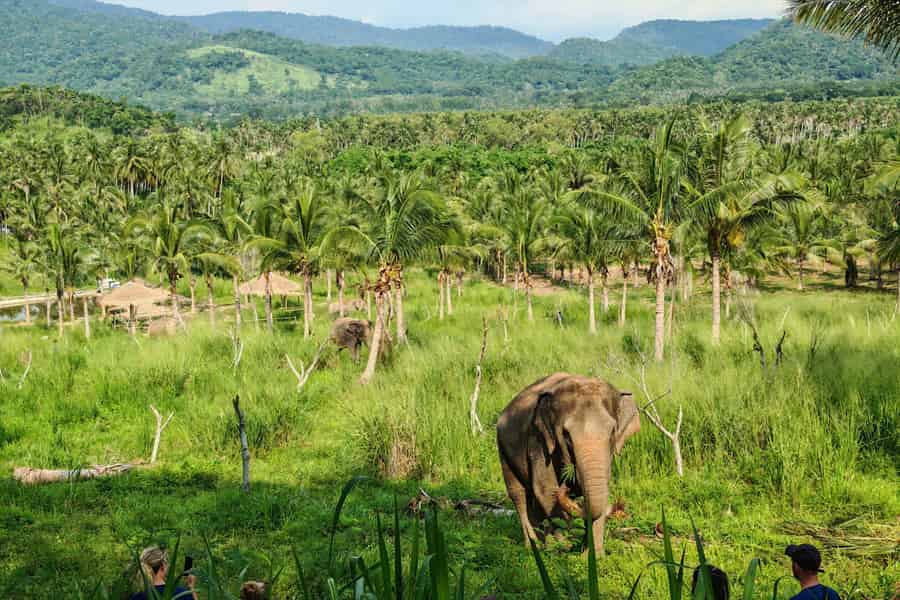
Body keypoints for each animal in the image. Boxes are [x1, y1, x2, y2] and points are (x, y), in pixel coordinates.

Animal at [496, 372, 640, 555]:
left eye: (612, 432)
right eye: (566, 435)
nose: (567, 487)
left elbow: (603, 489)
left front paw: (594, 555)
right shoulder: (538, 440)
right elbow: (546, 489)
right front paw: (565, 547)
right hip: (502, 447)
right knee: (519, 494)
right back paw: (533, 546)